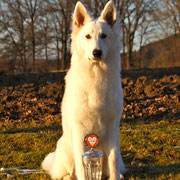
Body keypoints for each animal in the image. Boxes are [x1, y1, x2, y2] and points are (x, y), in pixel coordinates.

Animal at [41, 0, 126, 179]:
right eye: (87, 36)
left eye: (104, 36)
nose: (97, 52)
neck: (96, 75)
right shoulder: (80, 129)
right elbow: (81, 166)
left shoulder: (113, 127)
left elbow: (113, 160)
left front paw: (115, 177)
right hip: (66, 150)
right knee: (67, 172)